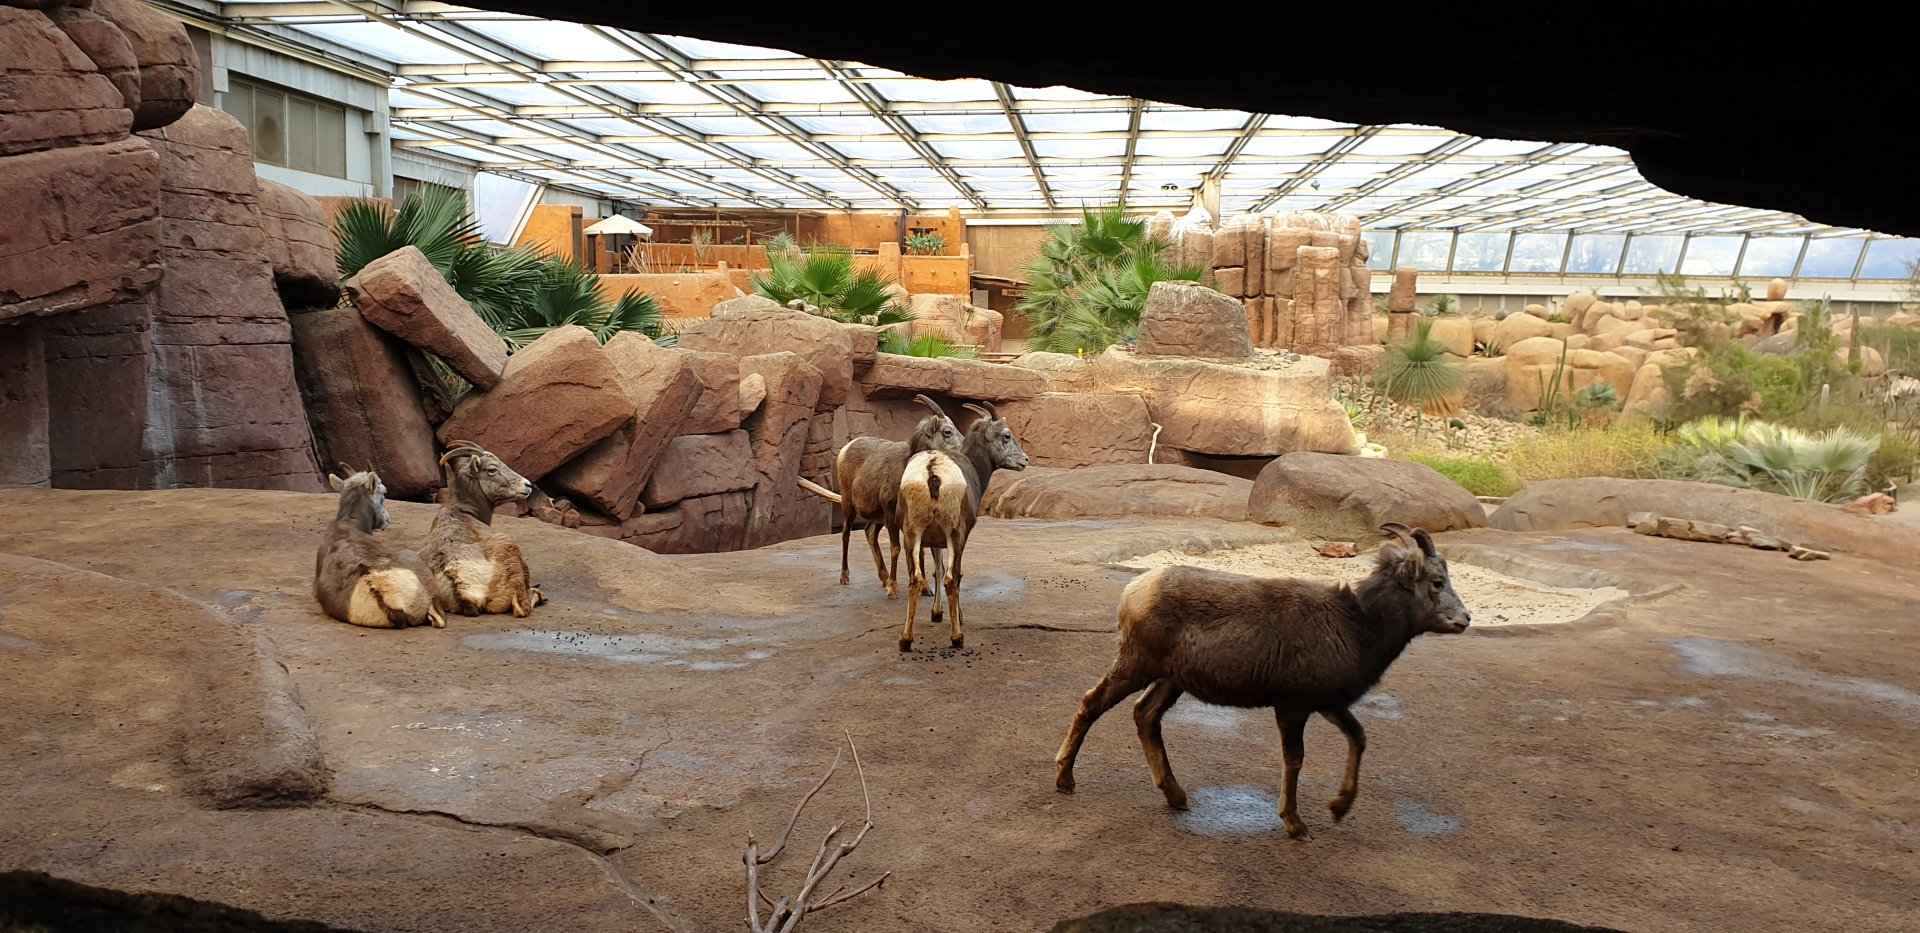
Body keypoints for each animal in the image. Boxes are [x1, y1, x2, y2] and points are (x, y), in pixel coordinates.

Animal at [796, 394, 963, 598]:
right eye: (948, 431)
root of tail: (847, 448)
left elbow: (919, 551)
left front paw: (924, 588)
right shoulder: (890, 512)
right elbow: (896, 548)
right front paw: (893, 589)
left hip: (877, 516)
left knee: (869, 533)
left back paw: (883, 578)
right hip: (849, 505)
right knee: (845, 534)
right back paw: (846, 577)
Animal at [894, 401, 1030, 651]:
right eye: (1006, 436)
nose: (1024, 460)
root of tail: (932, 472)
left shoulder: (932, 540)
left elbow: (937, 570)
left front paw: (936, 614)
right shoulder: (957, 537)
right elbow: (953, 574)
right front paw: (957, 618)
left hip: (911, 535)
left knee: (914, 579)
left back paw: (906, 640)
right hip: (955, 535)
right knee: (951, 579)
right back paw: (957, 638)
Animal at [1052, 523, 1471, 839]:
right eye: (1437, 582)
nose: (1464, 620)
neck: (1357, 628)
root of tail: (1135, 590)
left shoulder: (1328, 704)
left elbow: (1359, 737)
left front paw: (1338, 808)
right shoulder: (1293, 707)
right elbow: (1295, 759)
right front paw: (1296, 825)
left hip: (1171, 680)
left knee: (1145, 716)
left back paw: (1177, 796)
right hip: (1138, 666)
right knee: (1093, 703)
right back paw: (1065, 780)